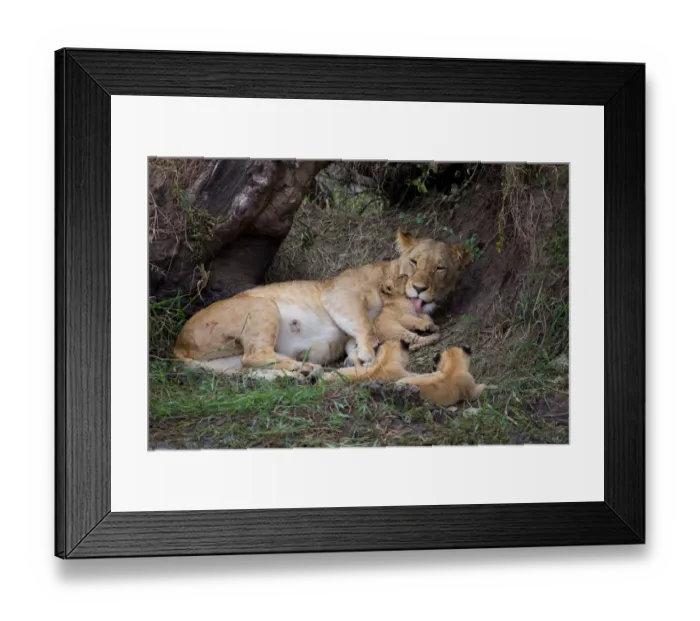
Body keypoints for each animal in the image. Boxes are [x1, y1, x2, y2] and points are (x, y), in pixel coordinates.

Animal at [172, 230, 466, 376]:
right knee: (255, 355)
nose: (420, 289)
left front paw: (354, 358)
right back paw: (307, 368)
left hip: (229, 364)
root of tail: (178, 345)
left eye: (440, 268)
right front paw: (367, 356)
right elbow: (367, 327)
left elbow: (356, 339)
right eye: (415, 261)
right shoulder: (339, 294)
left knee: (250, 366)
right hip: (260, 306)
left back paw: (302, 374)